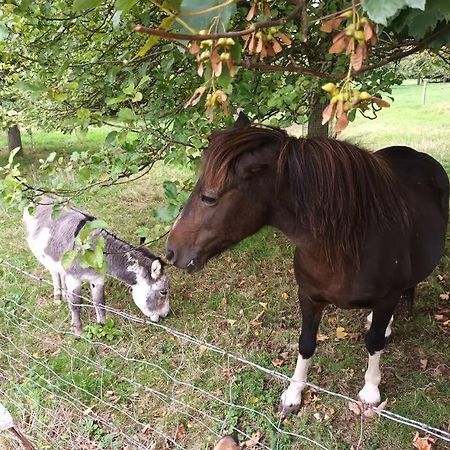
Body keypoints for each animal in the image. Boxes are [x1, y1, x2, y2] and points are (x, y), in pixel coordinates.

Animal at [167, 114, 448, 416]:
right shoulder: (309, 297)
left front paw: (370, 391)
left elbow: (373, 343)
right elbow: (306, 343)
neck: (346, 244)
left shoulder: (386, 298)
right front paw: (293, 393)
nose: (171, 251)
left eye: (209, 198)